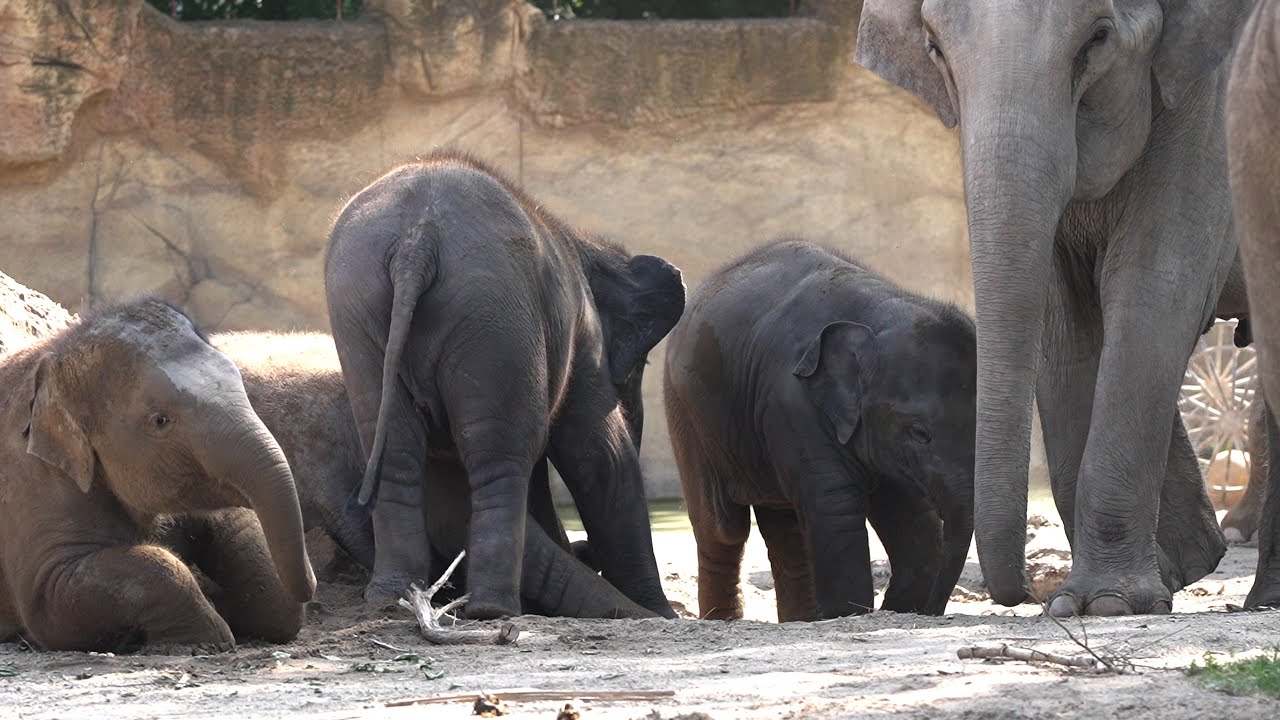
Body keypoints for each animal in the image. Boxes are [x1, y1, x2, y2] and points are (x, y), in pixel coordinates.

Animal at [0, 298, 316, 653]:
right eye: (160, 420)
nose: (313, 582)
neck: (53, 355)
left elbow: (247, 542)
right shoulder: (30, 485)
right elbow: (50, 594)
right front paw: (210, 629)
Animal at [324, 150, 683, 619]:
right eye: (641, 363)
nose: (585, 551)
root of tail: (416, 243)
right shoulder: (581, 332)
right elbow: (597, 451)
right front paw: (663, 613)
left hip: (363, 311)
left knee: (396, 453)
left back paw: (392, 597)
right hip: (493, 315)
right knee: (503, 458)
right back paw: (493, 610)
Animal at [663, 240, 976, 621]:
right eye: (919, 432)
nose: (932, 611)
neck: (875, 314)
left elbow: (912, 517)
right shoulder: (791, 402)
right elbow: (835, 506)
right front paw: (846, 612)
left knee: (785, 527)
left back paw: (800, 619)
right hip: (686, 414)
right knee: (723, 527)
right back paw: (725, 619)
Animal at [855, 0, 1257, 616]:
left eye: (1097, 38)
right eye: (934, 48)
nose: (1022, 593)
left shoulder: (1211, 103)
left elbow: (1152, 294)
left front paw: (1110, 602)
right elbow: (1064, 324)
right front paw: (1121, 593)